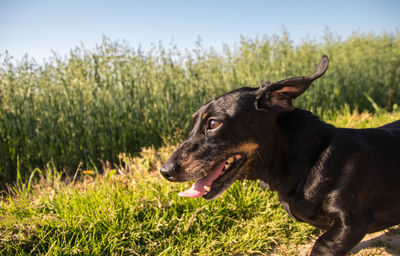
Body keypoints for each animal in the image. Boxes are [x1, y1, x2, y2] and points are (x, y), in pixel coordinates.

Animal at [160, 55, 400, 254]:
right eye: (193, 124)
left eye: (213, 123)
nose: (164, 171)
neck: (310, 160)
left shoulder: (352, 222)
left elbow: (322, 245)